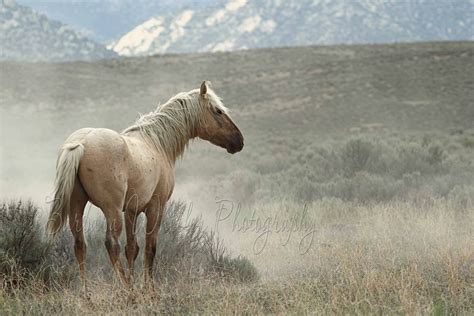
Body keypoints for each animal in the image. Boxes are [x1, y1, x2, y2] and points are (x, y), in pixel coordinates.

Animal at [46, 81, 244, 286]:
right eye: (217, 111)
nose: (239, 141)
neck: (157, 143)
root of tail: (81, 143)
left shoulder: (131, 210)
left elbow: (132, 248)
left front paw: (135, 280)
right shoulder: (156, 207)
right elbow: (150, 248)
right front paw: (147, 288)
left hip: (77, 204)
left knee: (80, 244)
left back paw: (88, 292)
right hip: (111, 209)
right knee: (112, 244)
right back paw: (126, 288)